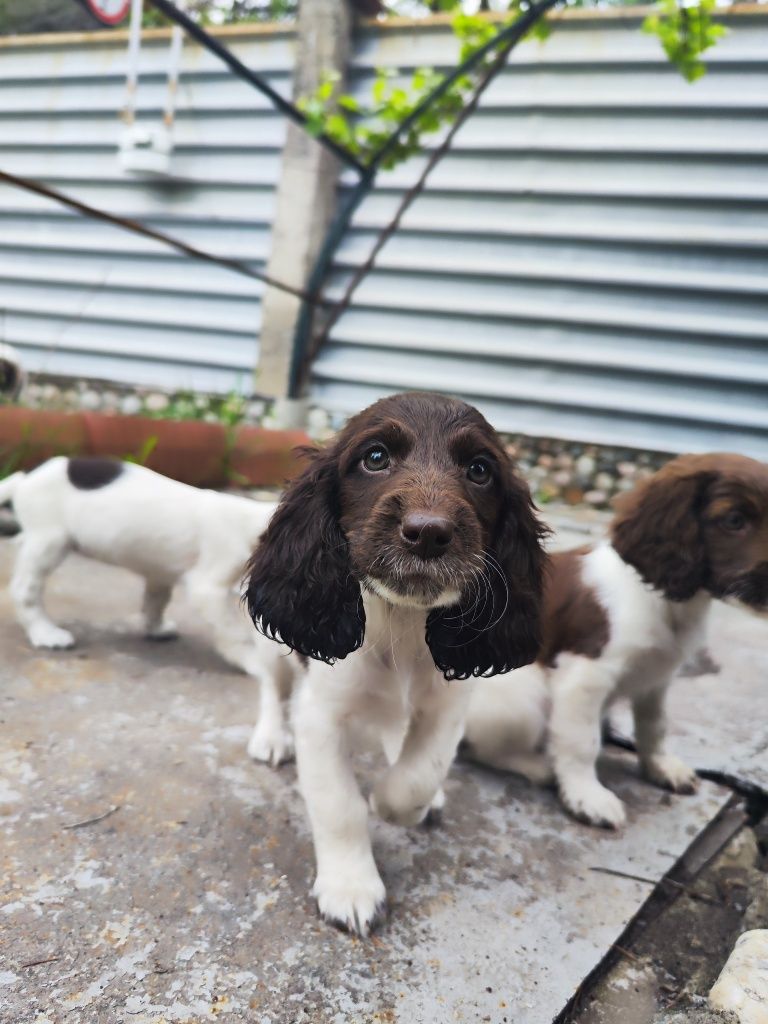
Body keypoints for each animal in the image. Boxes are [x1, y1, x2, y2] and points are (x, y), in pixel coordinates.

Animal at [246, 391, 548, 937]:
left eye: (479, 469)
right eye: (375, 457)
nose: (428, 533)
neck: (401, 623)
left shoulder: (447, 706)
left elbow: (416, 775)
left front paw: (396, 801)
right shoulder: (320, 716)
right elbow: (340, 804)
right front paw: (351, 887)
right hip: (274, 659)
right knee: (270, 689)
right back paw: (270, 737)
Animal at [462, 456, 768, 831]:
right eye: (734, 521)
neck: (663, 602)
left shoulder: (658, 678)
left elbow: (655, 726)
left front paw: (661, 766)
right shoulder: (585, 676)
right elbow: (582, 741)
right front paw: (586, 796)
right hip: (525, 697)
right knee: (478, 749)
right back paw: (542, 768)